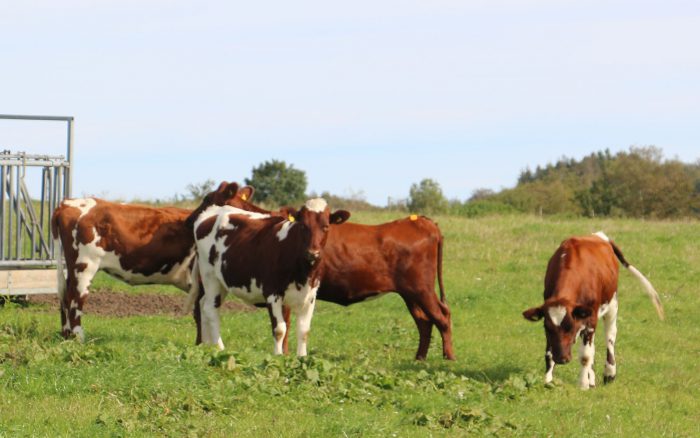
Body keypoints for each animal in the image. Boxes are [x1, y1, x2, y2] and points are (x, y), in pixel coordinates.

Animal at [51, 183, 254, 340]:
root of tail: (68, 203)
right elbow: (201, 314)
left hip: (72, 268)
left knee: (65, 296)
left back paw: (66, 335)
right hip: (85, 265)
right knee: (75, 298)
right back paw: (78, 338)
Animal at [185, 192, 350, 356]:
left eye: (326, 226)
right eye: (303, 225)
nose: (312, 253)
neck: (303, 273)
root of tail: (212, 211)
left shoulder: (310, 295)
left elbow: (304, 331)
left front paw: (302, 357)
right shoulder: (272, 292)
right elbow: (280, 329)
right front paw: (278, 356)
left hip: (222, 281)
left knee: (204, 304)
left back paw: (207, 345)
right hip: (209, 276)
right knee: (210, 309)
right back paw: (219, 348)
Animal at [524, 231, 664, 388]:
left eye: (570, 326)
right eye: (547, 328)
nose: (561, 358)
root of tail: (600, 236)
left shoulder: (591, 318)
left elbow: (585, 356)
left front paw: (583, 385)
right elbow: (549, 353)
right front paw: (548, 381)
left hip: (612, 305)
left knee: (610, 336)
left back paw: (609, 373)